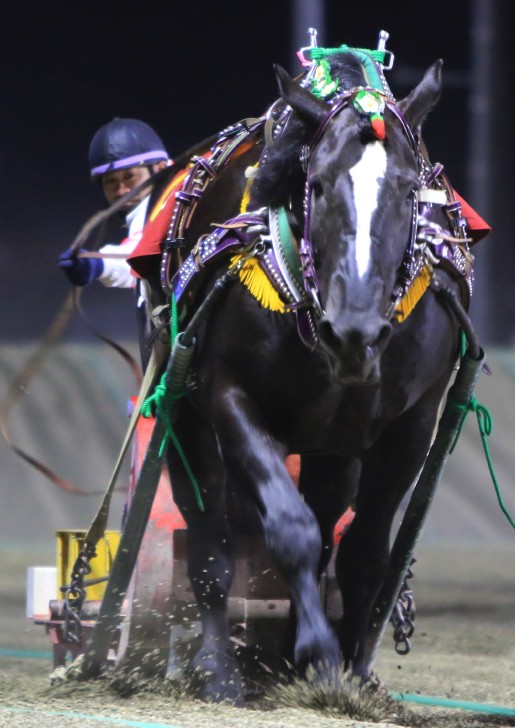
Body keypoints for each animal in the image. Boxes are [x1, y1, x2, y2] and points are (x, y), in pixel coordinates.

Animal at [146, 52, 471, 703]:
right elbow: (287, 530)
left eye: (408, 188)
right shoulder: (230, 396)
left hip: (334, 446)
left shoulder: (412, 421)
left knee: (327, 524)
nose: (355, 333)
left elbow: (365, 550)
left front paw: (348, 668)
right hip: (185, 407)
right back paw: (219, 666)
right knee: (210, 530)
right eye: (315, 185)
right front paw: (316, 652)